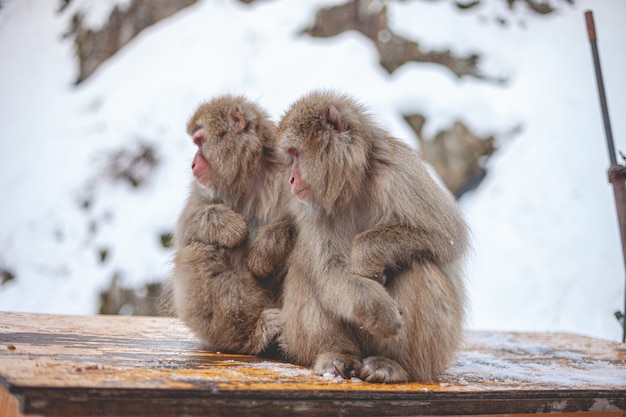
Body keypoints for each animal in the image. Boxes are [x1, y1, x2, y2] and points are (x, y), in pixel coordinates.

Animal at [169, 94, 294, 354]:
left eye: (199, 141)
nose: (193, 164)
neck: (252, 176)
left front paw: (266, 248)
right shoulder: (203, 188)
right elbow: (184, 230)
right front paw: (227, 225)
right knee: (198, 252)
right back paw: (252, 334)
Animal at [276, 89, 466, 382]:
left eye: (296, 153)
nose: (291, 180)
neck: (353, 185)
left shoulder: (398, 171)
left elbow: (448, 234)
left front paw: (365, 258)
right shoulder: (312, 209)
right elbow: (329, 271)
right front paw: (375, 306)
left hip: (435, 353)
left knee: (418, 265)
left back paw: (393, 364)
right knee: (307, 271)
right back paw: (336, 354)